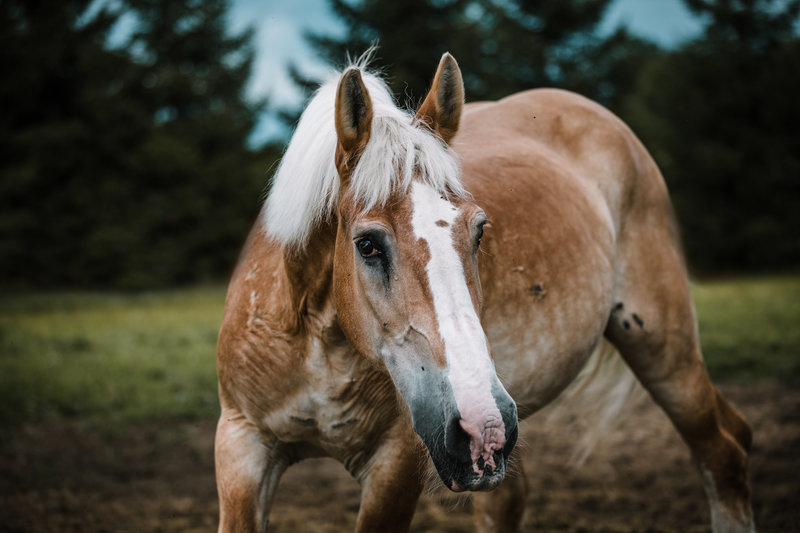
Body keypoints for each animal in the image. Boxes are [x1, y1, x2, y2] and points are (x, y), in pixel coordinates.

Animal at [214, 54, 756, 532]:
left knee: (723, 449)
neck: (316, 342)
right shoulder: (242, 446)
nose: (479, 424)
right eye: (367, 244)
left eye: (478, 232)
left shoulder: (396, 464)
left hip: (661, 346)